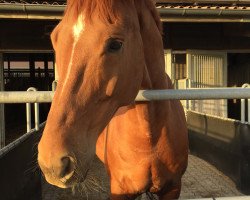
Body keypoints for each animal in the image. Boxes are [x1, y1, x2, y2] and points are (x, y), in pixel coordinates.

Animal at [38, 0, 188, 199]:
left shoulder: (173, 189)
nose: (52, 163)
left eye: (115, 44)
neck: (149, 141)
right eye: (55, 38)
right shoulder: (120, 190)